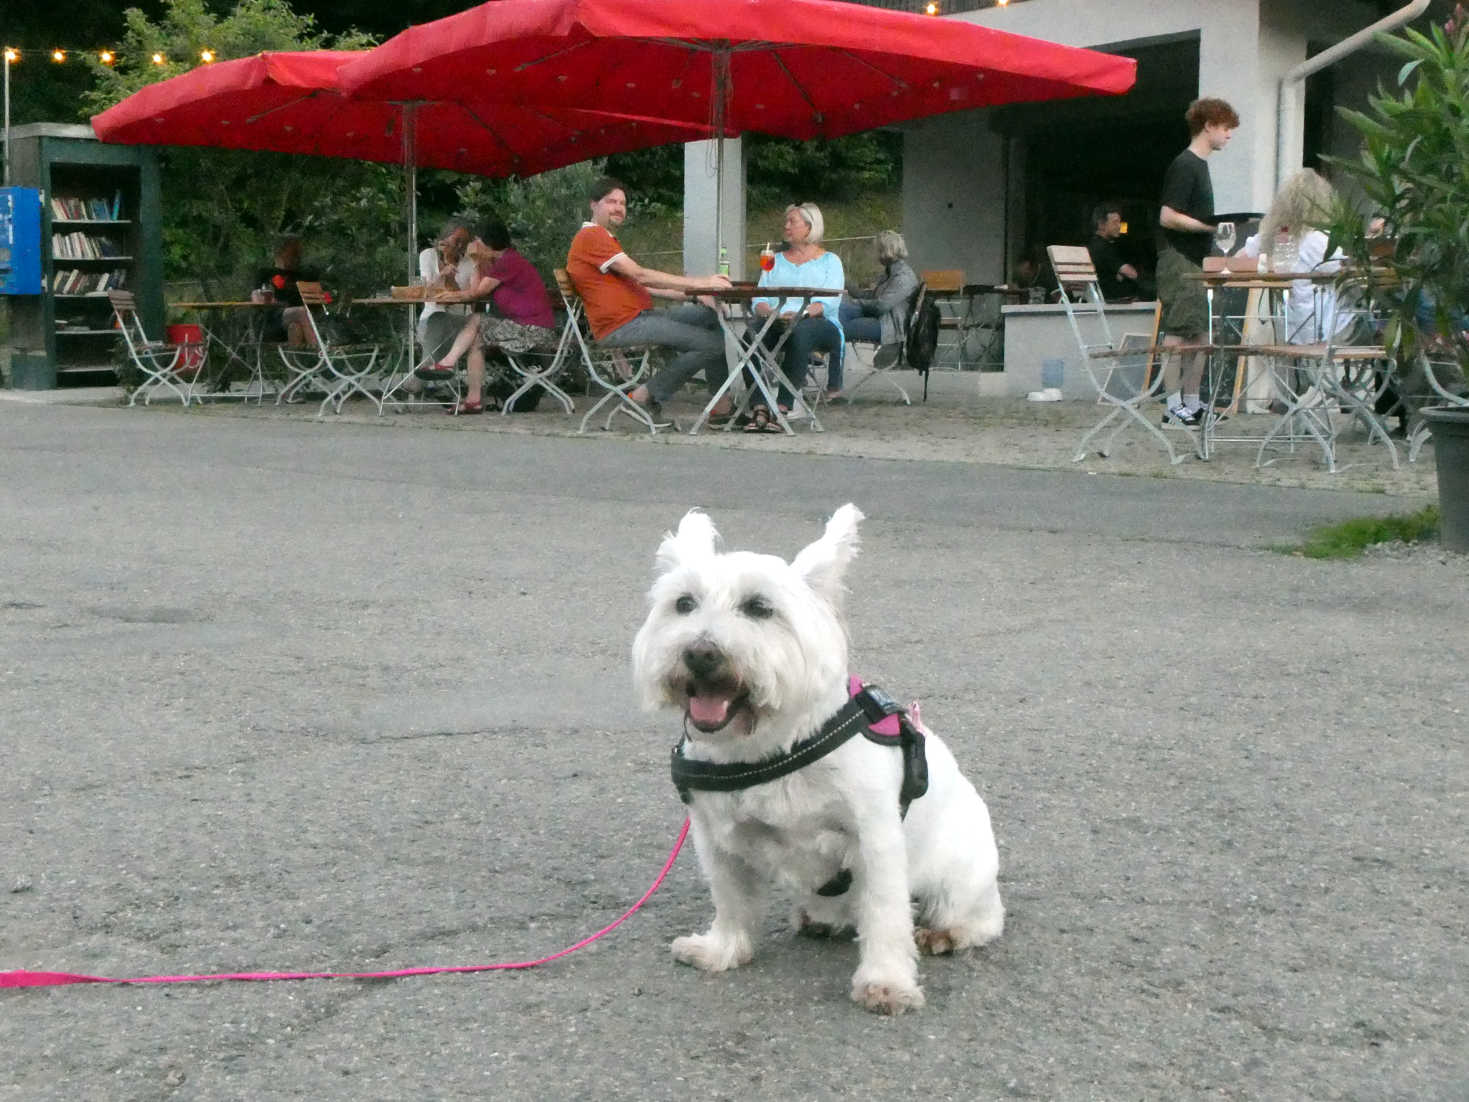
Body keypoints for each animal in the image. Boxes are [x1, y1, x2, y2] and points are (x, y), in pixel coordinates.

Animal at [625, 505, 1004, 1016]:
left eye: (759, 607)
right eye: (683, 604)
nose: (700, 653)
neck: (767, 746)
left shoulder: (875, 838)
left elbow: (885, 913)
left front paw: (886, 983)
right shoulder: (716, 837)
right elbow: (730, 898)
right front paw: (723, 950)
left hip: (958, 873)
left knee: (979, 916)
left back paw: (945, 932)